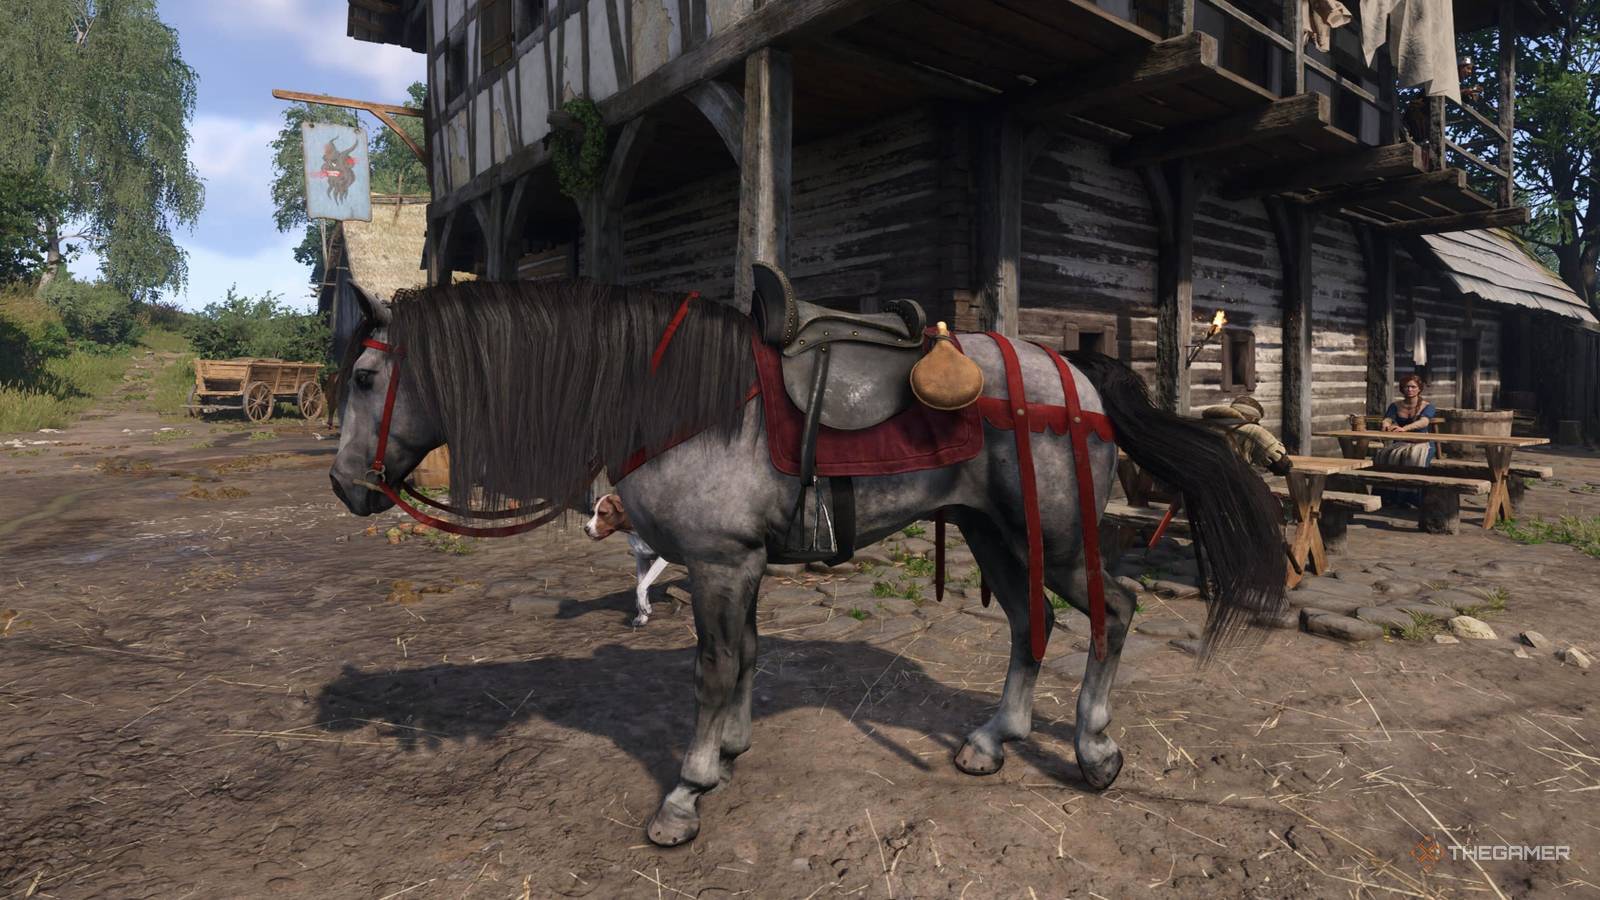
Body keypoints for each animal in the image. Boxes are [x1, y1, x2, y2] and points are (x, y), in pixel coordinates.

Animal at [327, 277, 1286, 847]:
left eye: (368, 381)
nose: (345, 487)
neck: (684, 401)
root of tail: (1079, 374)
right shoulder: (739, 565)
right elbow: (747, 656)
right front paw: (731, 749)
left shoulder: (719, 563)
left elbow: (714, 668)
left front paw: (688, 790)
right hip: (993, 533)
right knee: (1031, 622)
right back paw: (992, 740)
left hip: (1048, 535)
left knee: (1112, 608)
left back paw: (1094, 749)